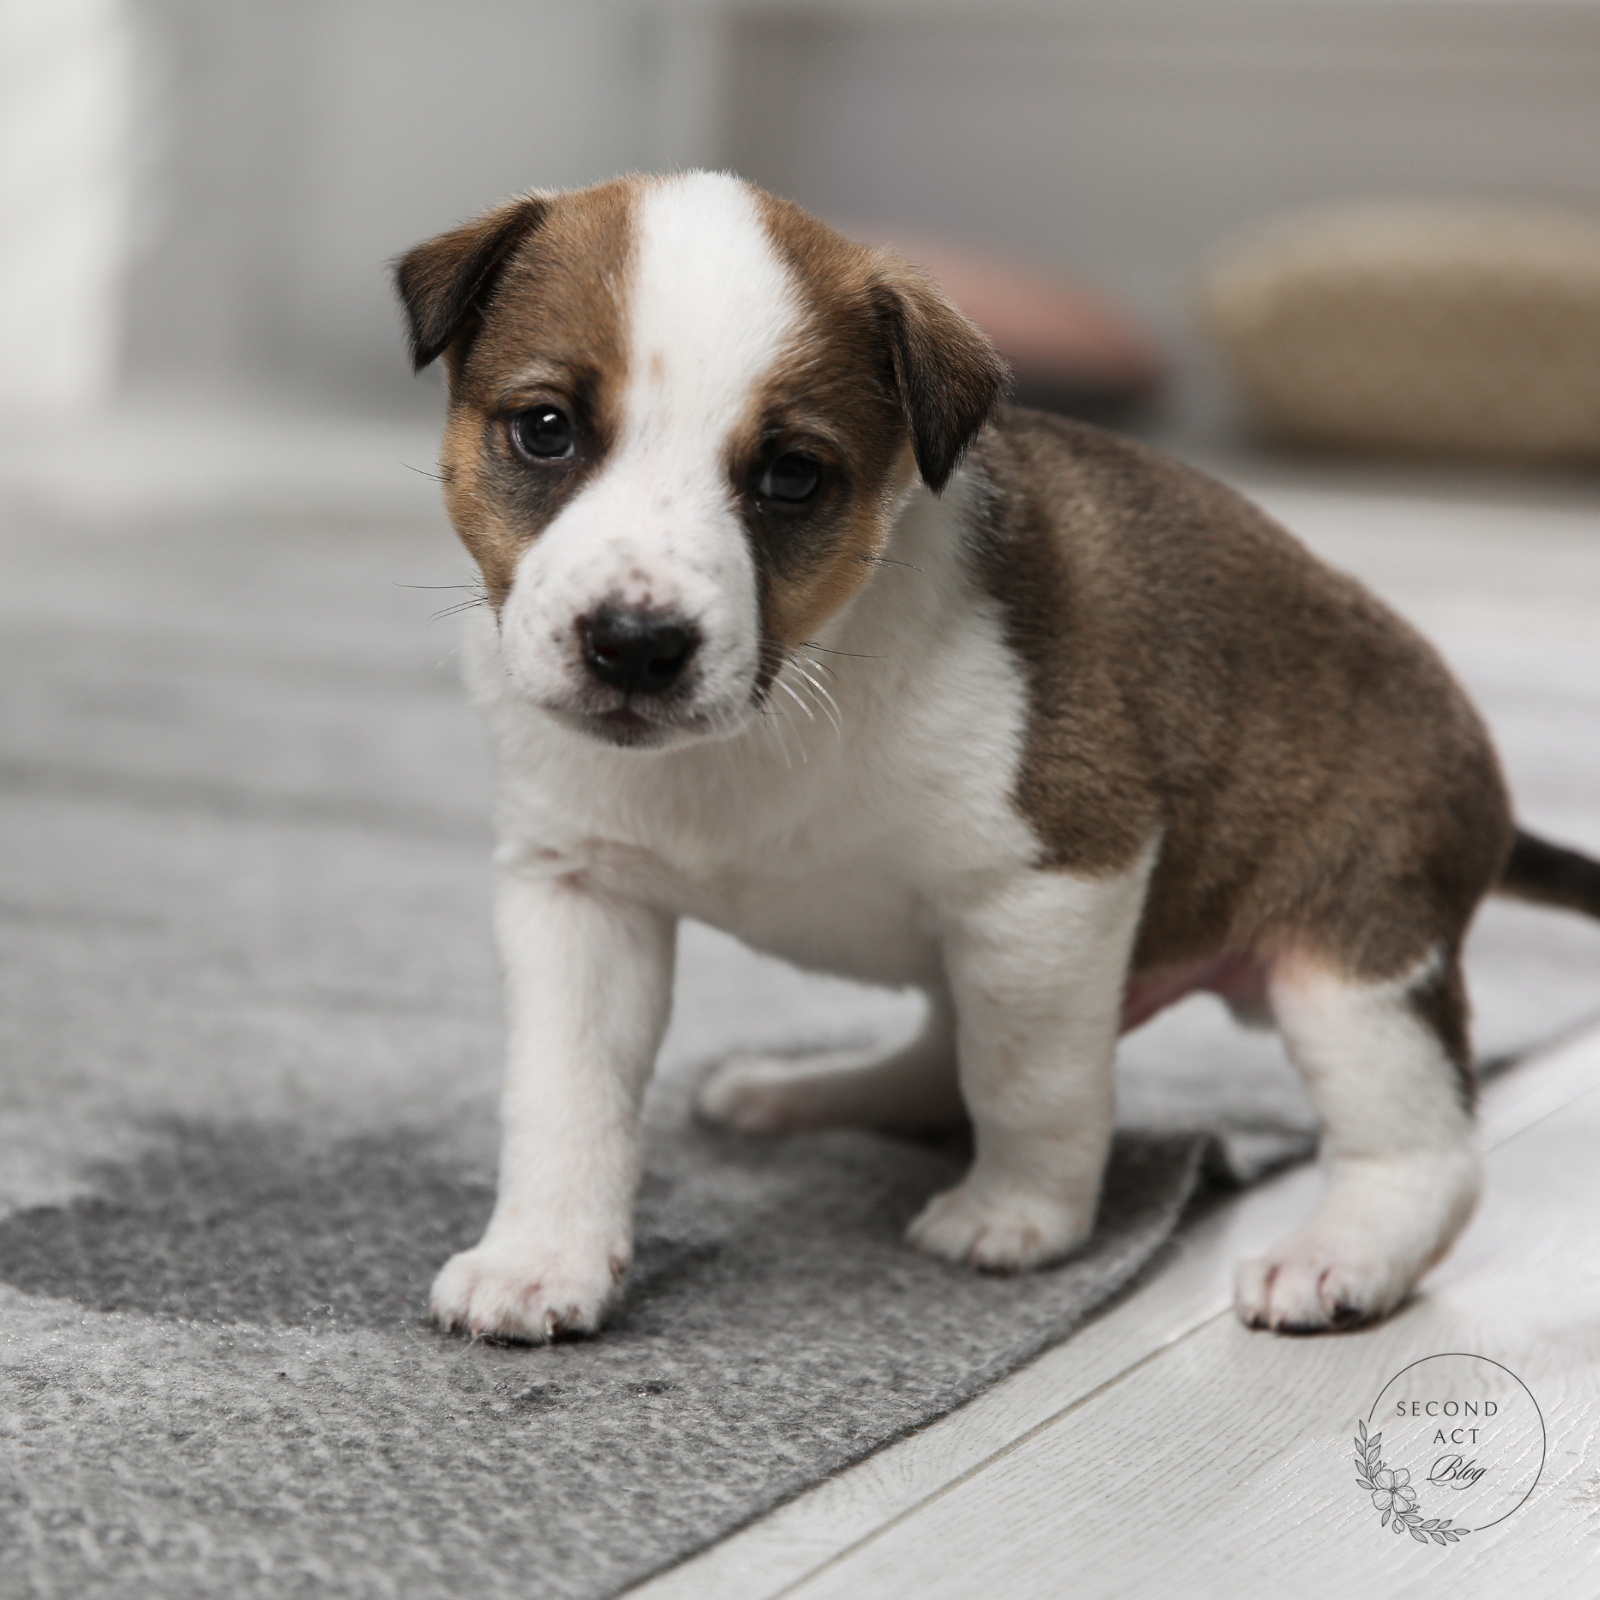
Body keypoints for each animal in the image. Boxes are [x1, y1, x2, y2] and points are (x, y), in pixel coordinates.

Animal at [390, 172, 1600, 1337]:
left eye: (793, 477)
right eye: (546, 428)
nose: (636, 645)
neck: (785, 705)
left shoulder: (1055, 885)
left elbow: (1030, 1082)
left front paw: (1022, 1216)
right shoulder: (576, 895)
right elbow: (564, 1098)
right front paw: (542, 1256)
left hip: (1351, 967)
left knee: (1423, 1151)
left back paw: (1340, 1252)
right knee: (937, 1054)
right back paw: (811, 1092)